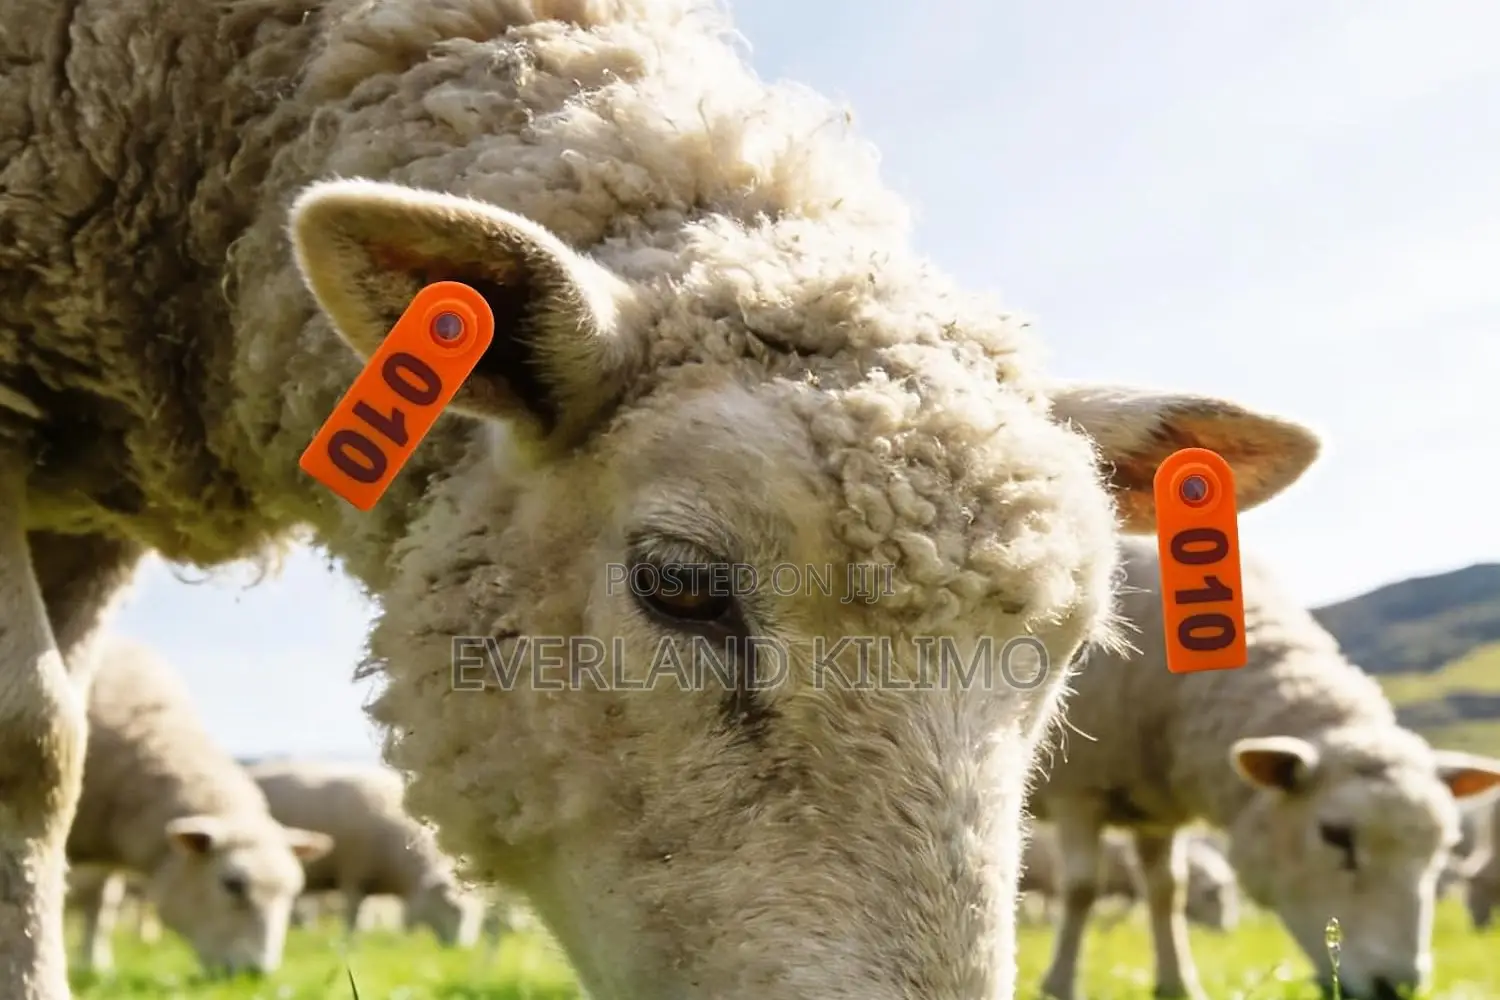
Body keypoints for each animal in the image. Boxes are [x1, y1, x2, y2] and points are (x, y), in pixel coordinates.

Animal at [247, 758, 486, 947]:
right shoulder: (354, 872)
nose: (463, 950)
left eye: (477, 915)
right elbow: (353, 915)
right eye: (454, 909)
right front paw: (349, 944)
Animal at [1027, 536, 1500, 1000]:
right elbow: (1082, 888)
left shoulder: (1156, 809)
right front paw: (1060, 985)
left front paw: (1179, 985)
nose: (1397, 987)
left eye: (1443, 847)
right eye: (1335, 835)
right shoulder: (1077, 789)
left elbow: (1167, 891)